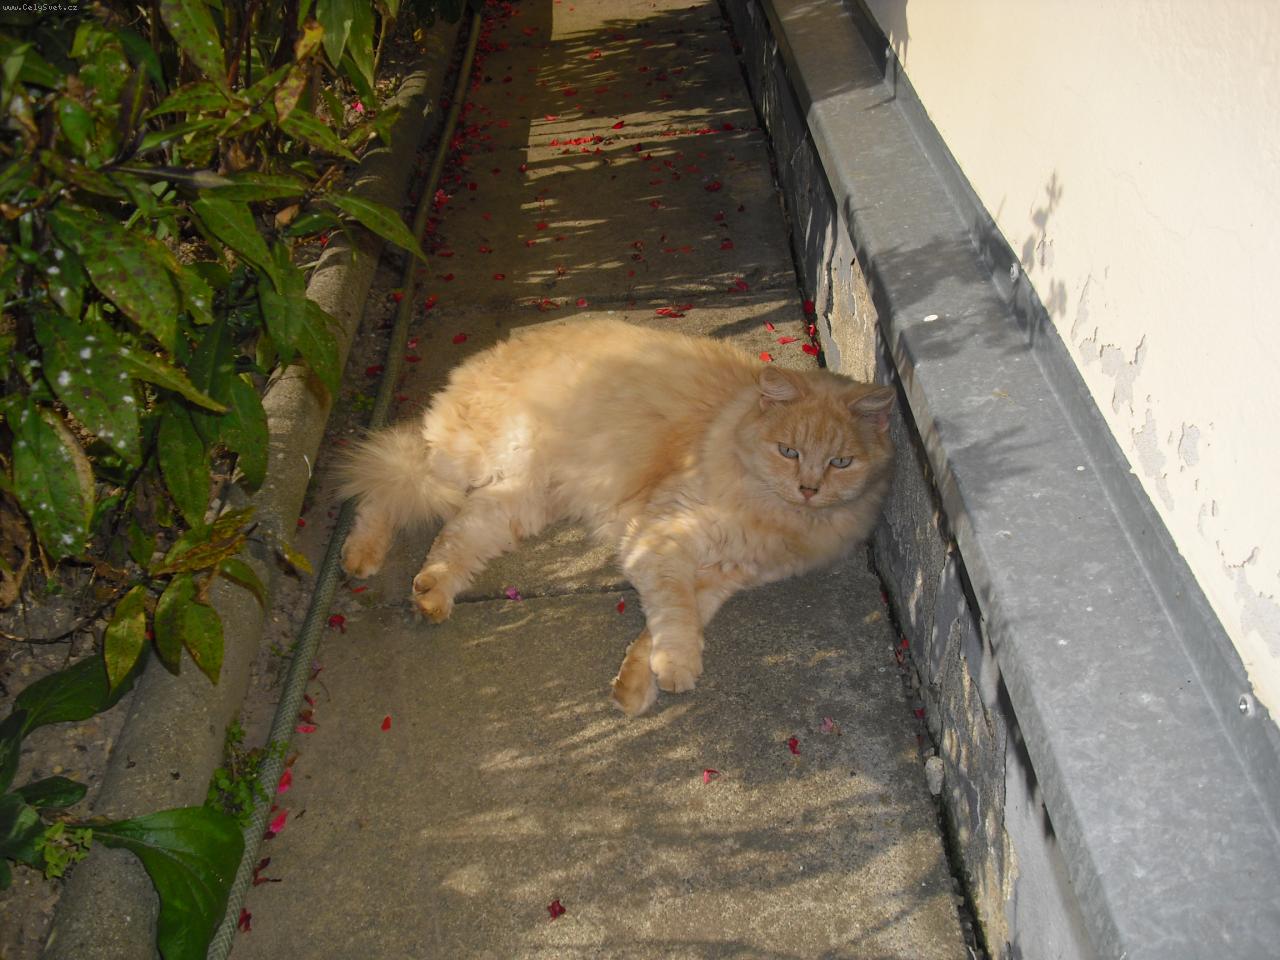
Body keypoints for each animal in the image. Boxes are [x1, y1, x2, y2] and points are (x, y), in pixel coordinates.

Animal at [337, 318, 894, 716]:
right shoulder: (663, 538)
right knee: (386, 482)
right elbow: (675, 613)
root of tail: (495, 349)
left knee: (456, 537)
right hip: (461, 464)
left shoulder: (723, 575)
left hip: (518, 498)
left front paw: (637, 685)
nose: (809, 489)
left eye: (841, 463)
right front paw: (676, 668)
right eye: (789, 451)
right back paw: (361, 555)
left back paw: (432, 593)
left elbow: (673, 622)